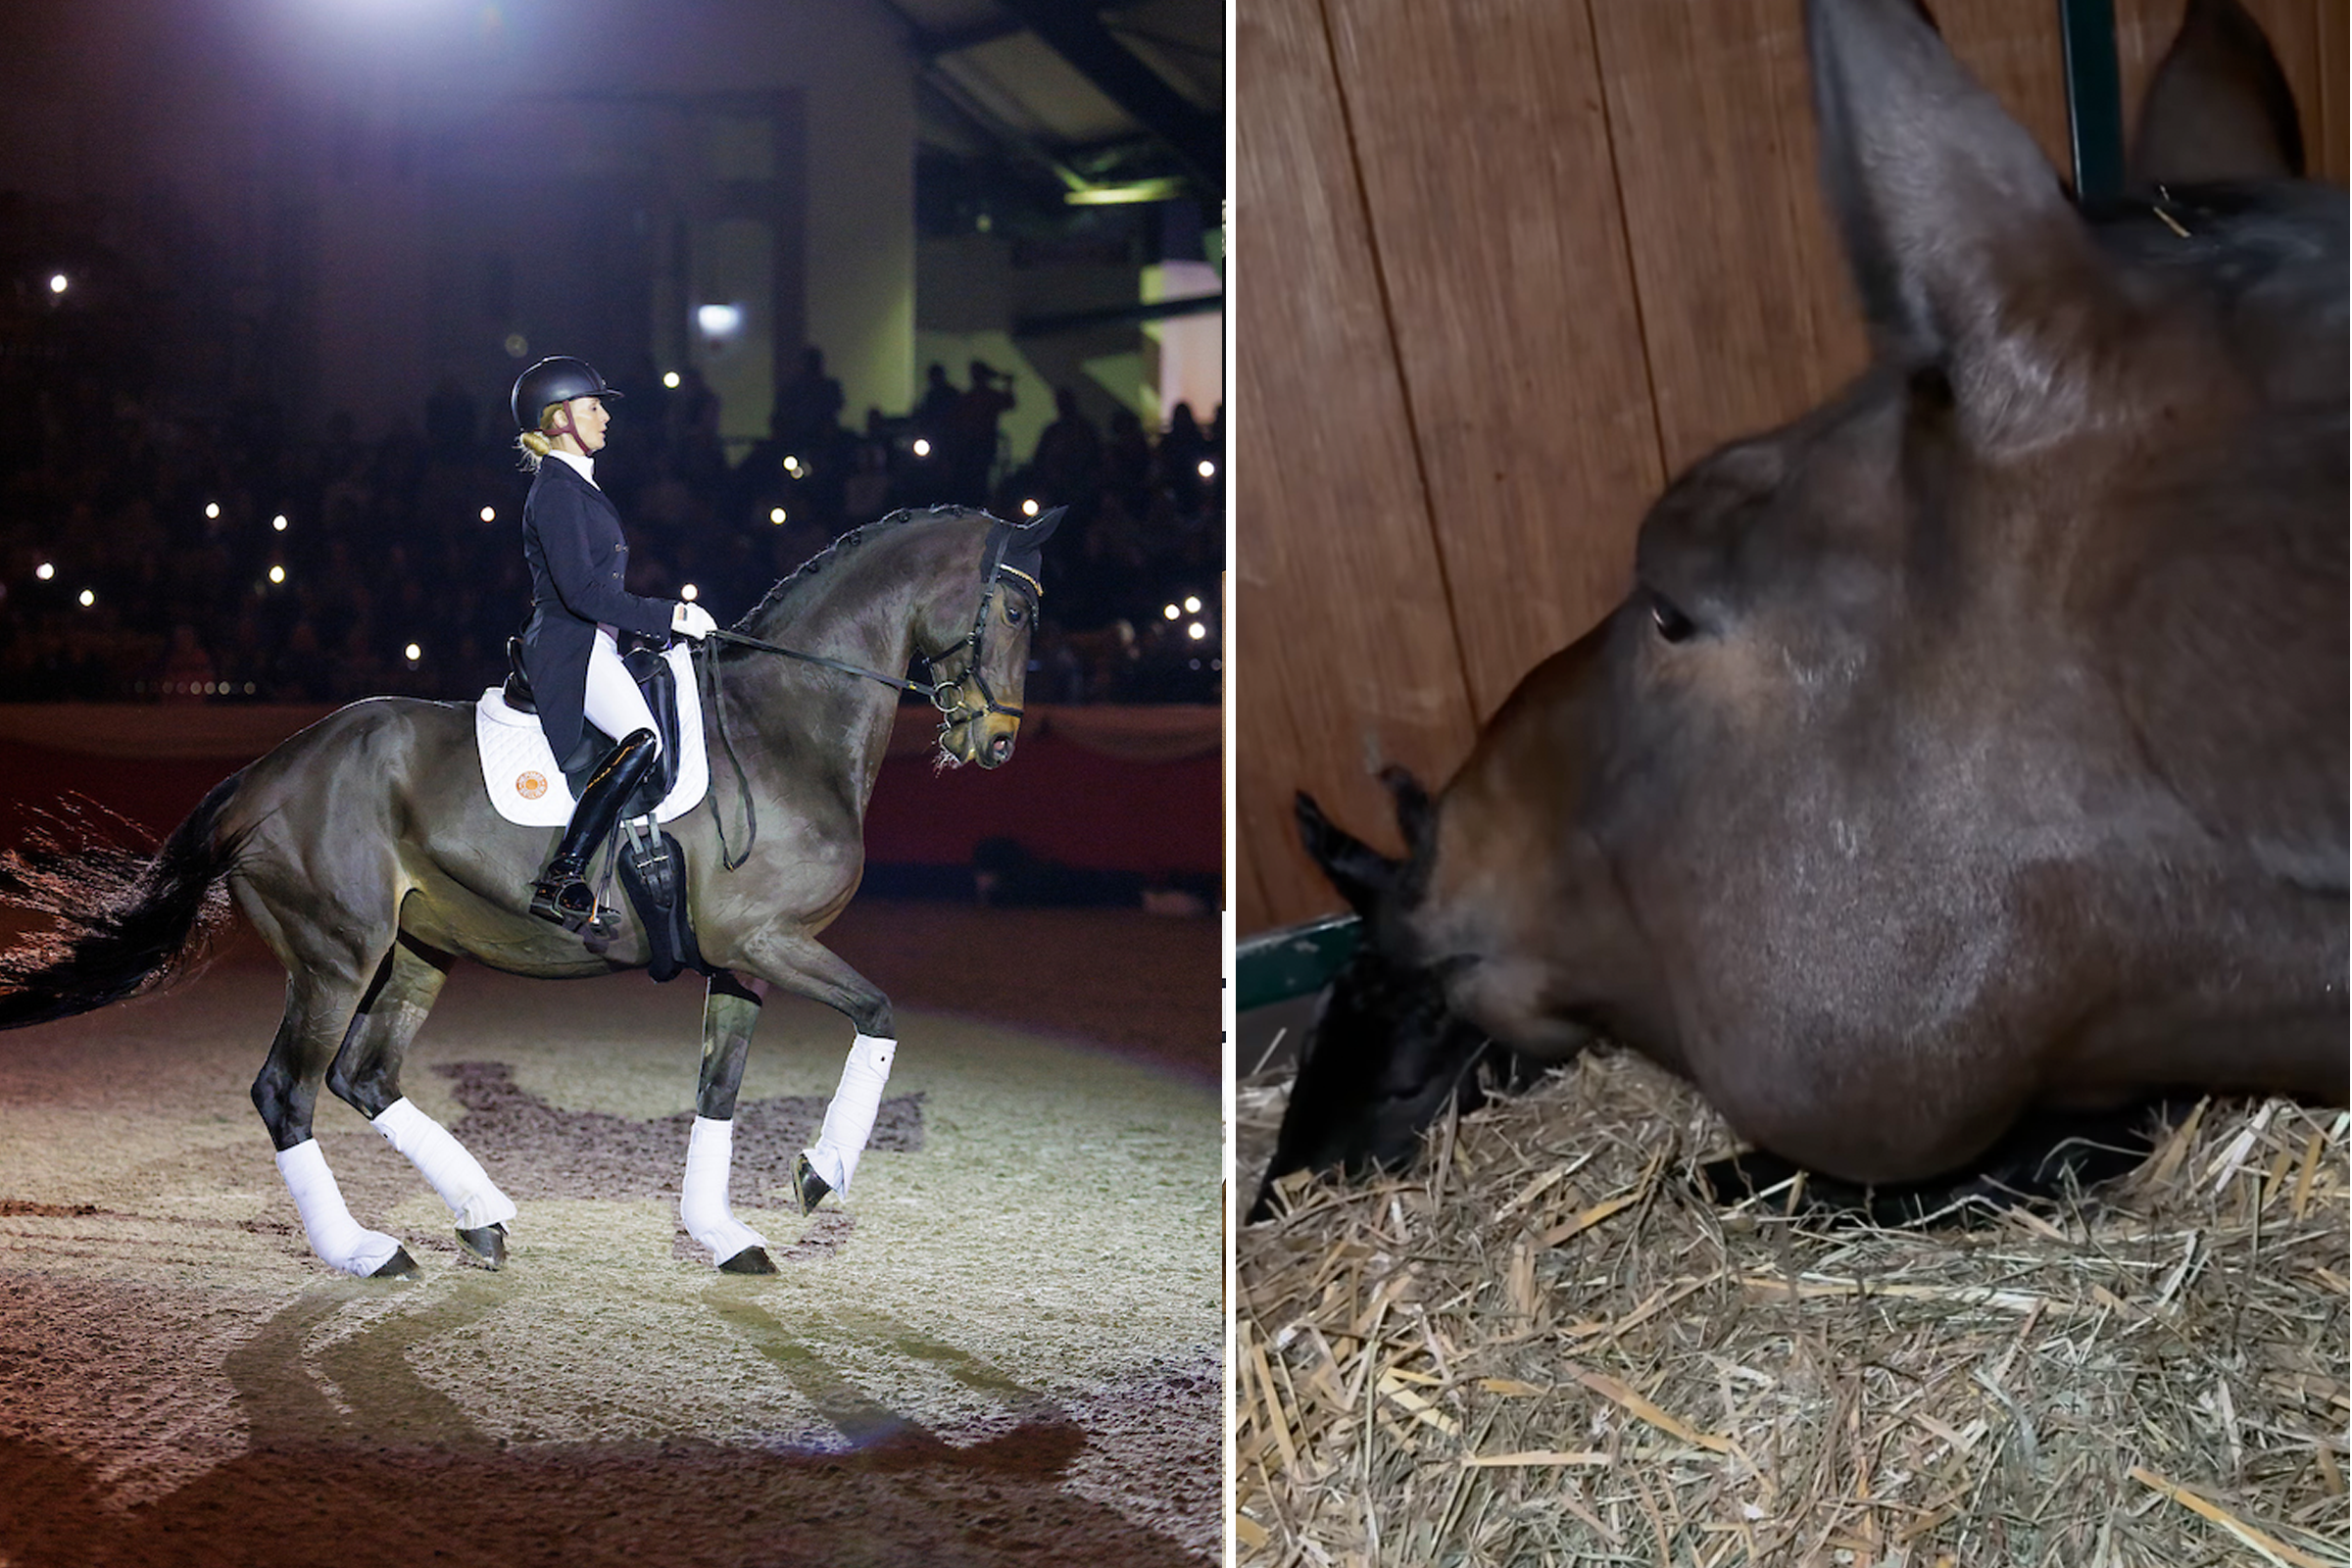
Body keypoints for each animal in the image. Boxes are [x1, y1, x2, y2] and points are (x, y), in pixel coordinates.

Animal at [0, 503, 1059, 1277]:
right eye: (1015, 612)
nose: (998, 743)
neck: (782, 724)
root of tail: (265, 773)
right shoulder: (770, 940)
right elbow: (879, 1014)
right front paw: (820, 1175)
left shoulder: (744, 957)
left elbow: (718, 1089)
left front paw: (724, 1234)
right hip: (333, 954)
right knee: (286, 1091)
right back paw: (366, 1252)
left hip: (419, 948)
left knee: (364, 1077)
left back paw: (479, 1217)